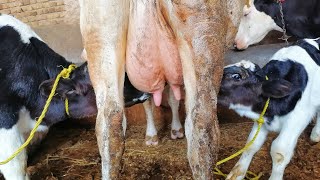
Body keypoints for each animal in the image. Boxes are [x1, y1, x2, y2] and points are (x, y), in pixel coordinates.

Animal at [78, 0, 226, 179]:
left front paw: (169, 131)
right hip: (202, 30)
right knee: (203, 124)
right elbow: (162, 101)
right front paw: (161, 133)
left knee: (110, 120)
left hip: (101, 33)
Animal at [219, 37, 320, 179]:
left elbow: (279, 151)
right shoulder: (261, 119)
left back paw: (316, 134)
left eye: (237, 76)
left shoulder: (298, 118)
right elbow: (251, 144)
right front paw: (236, 174)